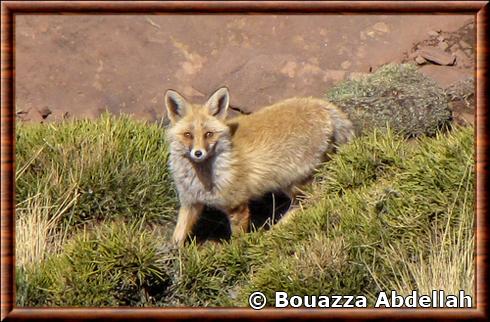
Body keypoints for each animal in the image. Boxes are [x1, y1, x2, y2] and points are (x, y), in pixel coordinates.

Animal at [167, 87, 354, 245]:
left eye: (208, 134)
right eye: (188, 135)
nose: (198, 153)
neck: (201, 179)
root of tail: (320, 105)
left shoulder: (237, 206)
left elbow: (237, 241)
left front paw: (236, 255)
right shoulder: (190, 203)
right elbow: (177, 237)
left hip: (293, 181)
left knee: (309, 200)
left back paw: (274, 232)